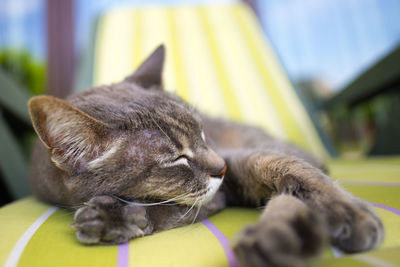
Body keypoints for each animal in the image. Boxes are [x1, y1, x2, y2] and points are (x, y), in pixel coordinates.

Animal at [28, 46, 384, 267]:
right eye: (177, 159)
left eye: (202, 134)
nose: (221, 168)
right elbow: (173, 209)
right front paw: (119, 215)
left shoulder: (235, 172)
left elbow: (295, 174)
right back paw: (280, 240)